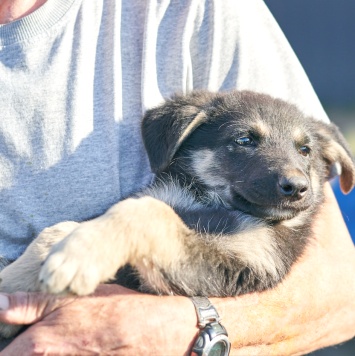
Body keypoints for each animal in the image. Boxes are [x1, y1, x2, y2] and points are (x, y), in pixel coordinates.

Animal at [0, 90, 355, 338]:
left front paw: (76, 258)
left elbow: (148, 212)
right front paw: (12, 281)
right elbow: (59, 229)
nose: (297, 188)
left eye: (305, 150)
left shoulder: (240, 264)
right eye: (244, 139)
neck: (206, 204)